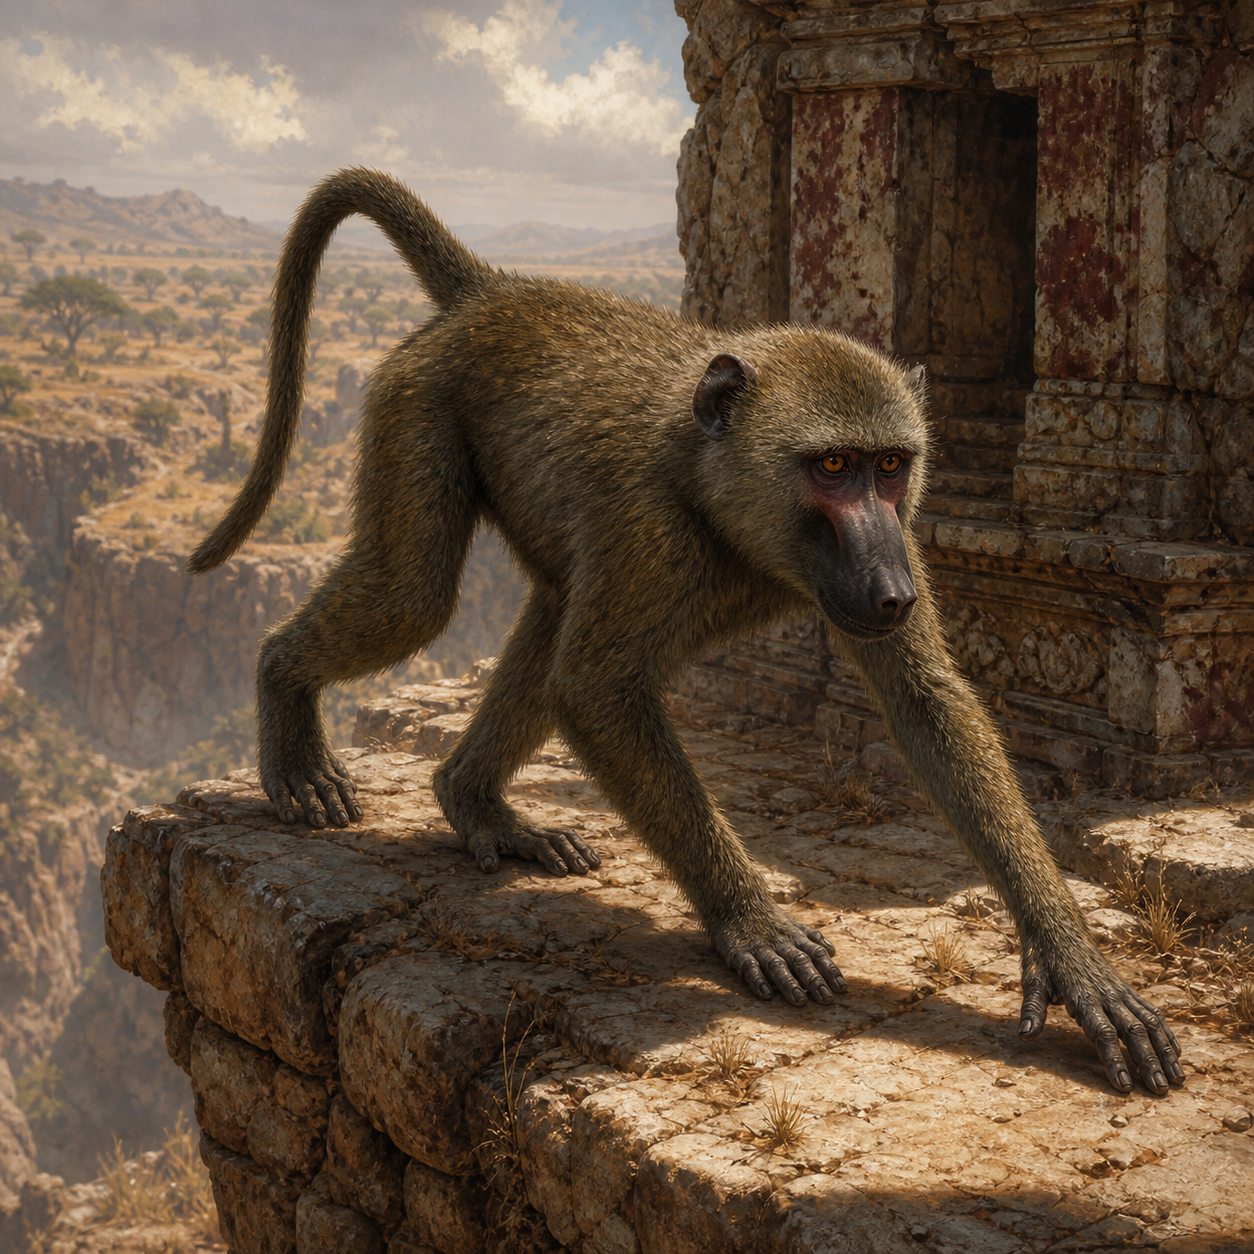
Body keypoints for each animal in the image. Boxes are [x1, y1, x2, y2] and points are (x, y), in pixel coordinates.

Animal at [189, 168, 1183, 1096]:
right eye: (832, 466)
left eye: (892, 467)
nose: (892, 590)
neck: (712, 478)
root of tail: (489, 296)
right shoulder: (649, 528)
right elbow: (597, 691)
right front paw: (750, 922)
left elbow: (925, 702)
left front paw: (1074, 963)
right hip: (417, 402)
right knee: (416, 597)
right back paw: (287, 703)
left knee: (545, 619)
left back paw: (473, 801)